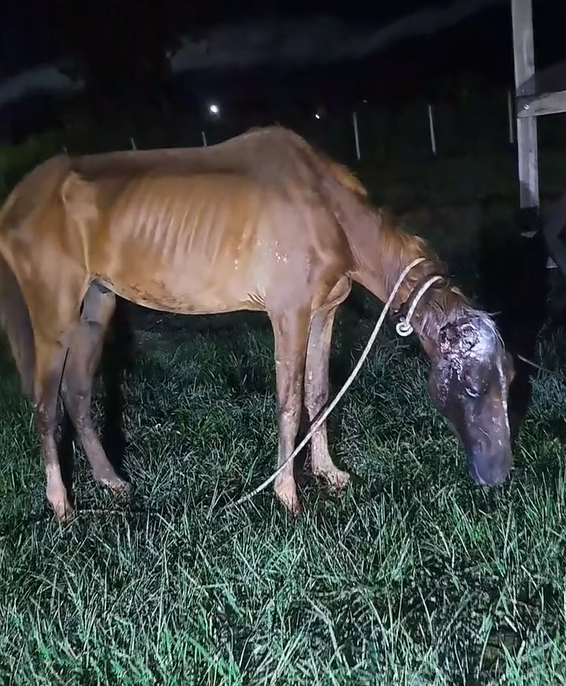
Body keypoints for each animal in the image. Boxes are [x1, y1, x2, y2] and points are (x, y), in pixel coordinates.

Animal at [0, 125, 515, 523]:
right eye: (473, 386)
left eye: (508, 377)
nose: (500, 475)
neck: (329, 210)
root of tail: (16, 200)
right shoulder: (289, 314)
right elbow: (288, 404)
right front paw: (288, 494)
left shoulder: (324, 312)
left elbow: (318, 394)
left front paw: (328, 473)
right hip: (53, 314)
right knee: (46, 404)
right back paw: (61, 505)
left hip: (95, 306)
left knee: (78, 393)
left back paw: (111, 482)